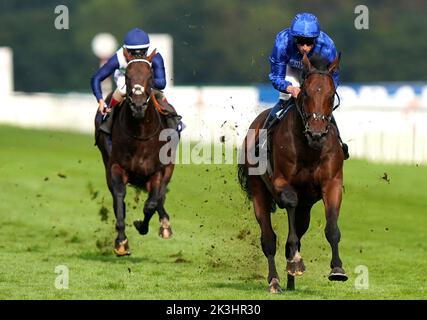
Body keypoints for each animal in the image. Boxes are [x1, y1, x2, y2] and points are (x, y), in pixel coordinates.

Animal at [95, 50, 177, 255]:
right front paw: (121, 242)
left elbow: (151, 204)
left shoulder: (156, 171)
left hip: (169, 166)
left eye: (150, 76)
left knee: (160, 196)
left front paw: (142, 225)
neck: (140, 135)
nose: (138, 106)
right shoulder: (116, 167)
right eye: (127, 77)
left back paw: (165, 225)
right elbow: (119, 197)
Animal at [239, 53, 350, 292]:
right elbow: (290, 203)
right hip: (258, 191)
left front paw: (337, 269)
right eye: (306, 92)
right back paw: (275, 280)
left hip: (306, 208)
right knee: (268, 239)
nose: (317, 134)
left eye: (331, 95)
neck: (310, 149)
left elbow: (332, 227)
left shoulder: (332, 182)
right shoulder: (281, 182)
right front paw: (295, 260)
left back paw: (290, 281)